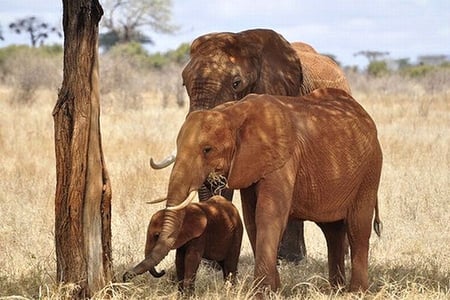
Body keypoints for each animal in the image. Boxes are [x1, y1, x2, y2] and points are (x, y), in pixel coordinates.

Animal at [139, 89, 382, 296]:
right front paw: (273, 290)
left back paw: (356, 292)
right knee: (332, 231)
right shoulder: (250, 164)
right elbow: (251, 218)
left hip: (370, 170)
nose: (162, 273)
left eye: (207, 150)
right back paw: (336, 290)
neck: (233, 112)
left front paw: (262, 293)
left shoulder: (282, 159)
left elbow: (268, 215)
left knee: (357, 228)